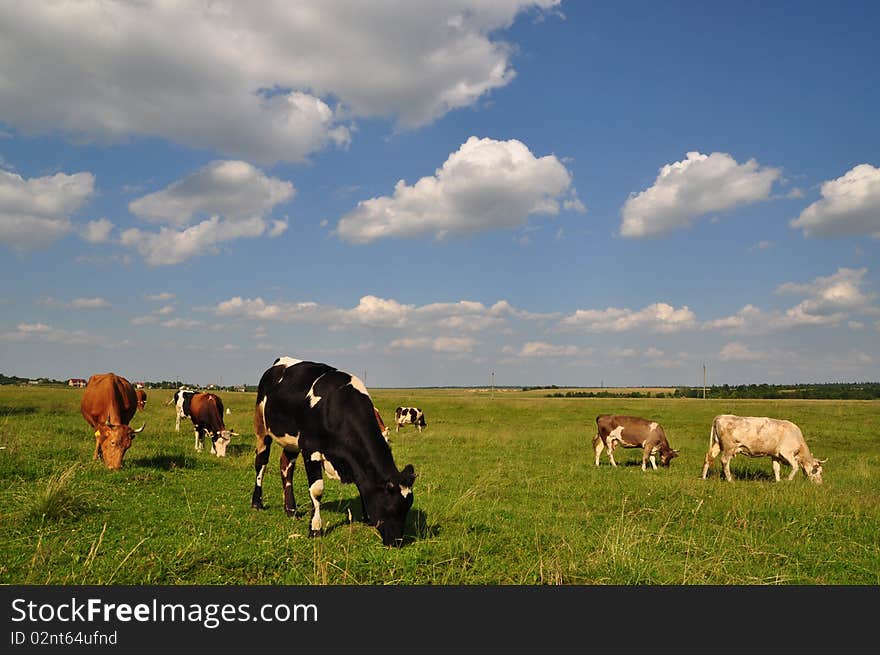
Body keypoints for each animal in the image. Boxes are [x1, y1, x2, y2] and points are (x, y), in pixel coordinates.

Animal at [251, 358, 416, 548]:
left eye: (407, 508)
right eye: (391, 507)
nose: (397, 542)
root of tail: (280, 361)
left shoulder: (354, 461)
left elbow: (362, 485)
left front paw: (366, 518)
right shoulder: (310, 449)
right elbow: (317, 490)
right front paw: (315, 529)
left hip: (291, 442)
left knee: (286, 466)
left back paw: (291, 510)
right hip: (261, 428)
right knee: (261, 463)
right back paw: (256, 503)